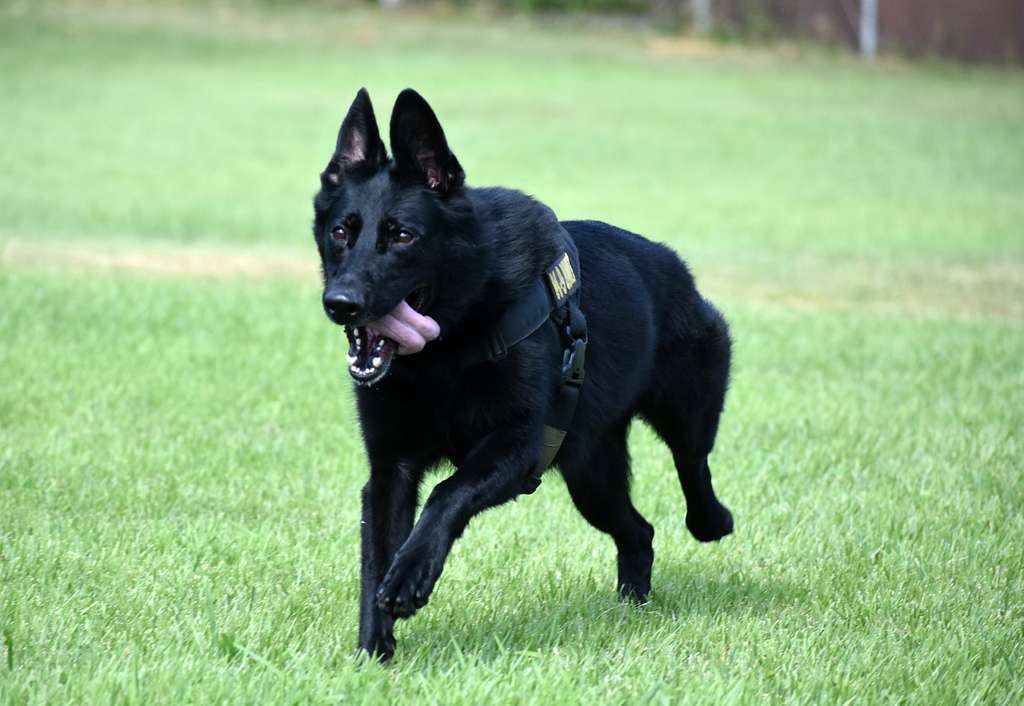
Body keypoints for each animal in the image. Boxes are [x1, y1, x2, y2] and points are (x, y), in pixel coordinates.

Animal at [307, 89, 733, 659]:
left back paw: (710, 522)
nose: (341, 303)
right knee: (638, 532)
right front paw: (373, 652)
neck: (448, 347)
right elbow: (375, 559)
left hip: (683, 413)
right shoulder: (390, 471)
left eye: (402, 236)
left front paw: (411, 576)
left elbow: (446, 495)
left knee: (692, 464)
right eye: (341, 233)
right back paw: (631, 607)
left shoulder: (516, 446)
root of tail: (679, 270)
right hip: (591, 478)